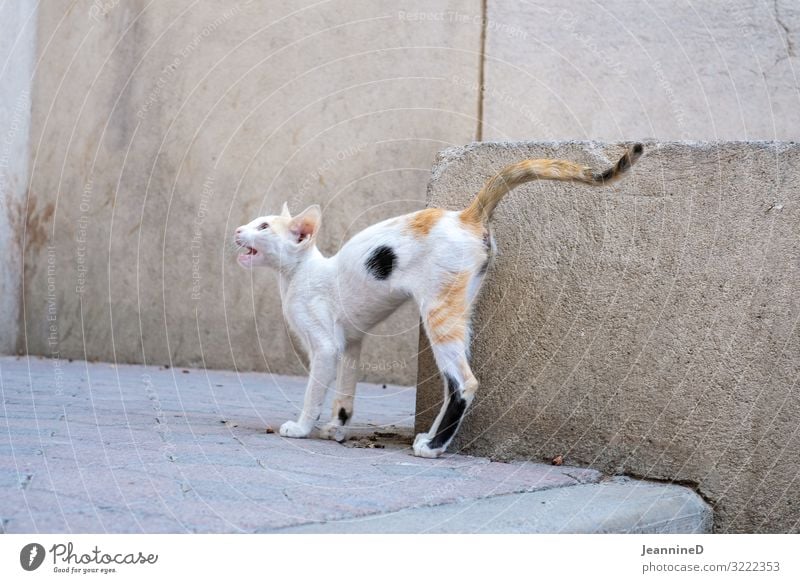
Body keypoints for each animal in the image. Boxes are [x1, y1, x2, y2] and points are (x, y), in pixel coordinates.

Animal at [233, 144, 644, 458]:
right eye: (254, 222)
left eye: (263, 227)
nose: (237, 230)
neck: (300, 275)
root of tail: (465, 215)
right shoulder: (350, 343)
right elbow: (344, 392)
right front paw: (337, 426)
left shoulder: (325, 346)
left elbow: (314, 391)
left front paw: (302, 426)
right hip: (459, 308)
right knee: (456, 380)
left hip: (438, 312)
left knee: (464, 382)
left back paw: (432, 447)